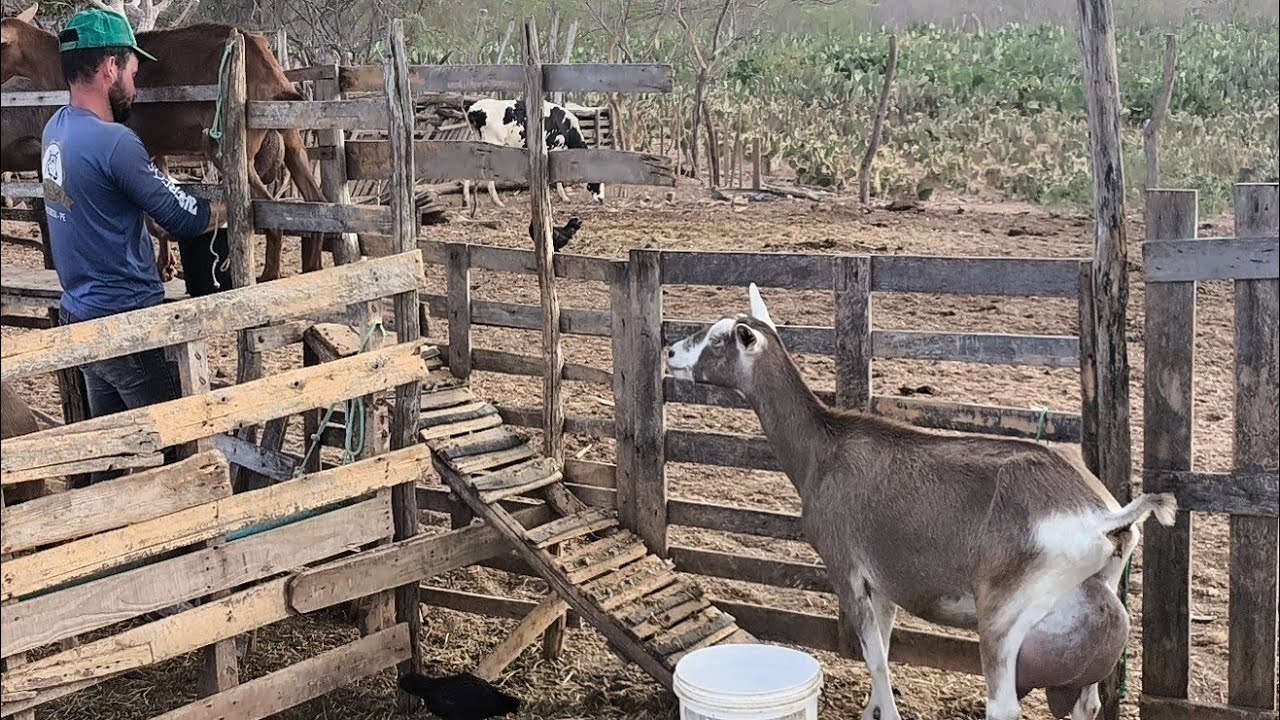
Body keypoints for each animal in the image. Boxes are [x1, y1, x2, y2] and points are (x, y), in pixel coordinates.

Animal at [1, 5, 324, 282]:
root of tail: (273, 74)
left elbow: (150, 219)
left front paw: (165, 267)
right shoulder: (152, 147)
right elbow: (160, 214)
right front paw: (166, 266)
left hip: (228, 147)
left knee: (267, 207)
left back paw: (269, 274)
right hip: (290, 131)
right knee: (316, 200)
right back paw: (313, 267)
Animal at [664, 284, 1177, 720]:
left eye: (717, 339)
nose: (669, 353)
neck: (824, 449)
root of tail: (1104, 516)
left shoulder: (845, 570)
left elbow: (875, 658)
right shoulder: (884, 582)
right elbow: (885, 649)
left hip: (1004, 617)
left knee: (1003, 707)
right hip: (1098, 596)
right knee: (1088, 704)